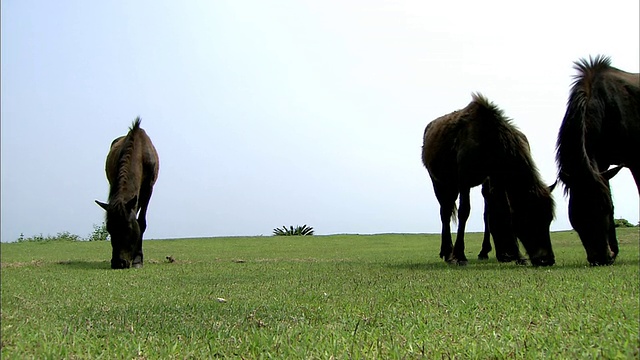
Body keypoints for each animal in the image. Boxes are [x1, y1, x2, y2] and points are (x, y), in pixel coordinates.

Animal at [95, 118, 159, 270]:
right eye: (109, 228)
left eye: (129, 228)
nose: (119, 263)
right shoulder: (114, 183)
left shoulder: (148, 189)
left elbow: (141, 222)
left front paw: (138, 259)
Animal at [420, 94, 556, 266]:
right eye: (529, 217)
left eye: (549, 219)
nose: (547, 259)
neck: (489, 141)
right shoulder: (464, 181)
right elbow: (464, 212)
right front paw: (460, 255)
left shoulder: (497, 180)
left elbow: (503, 212)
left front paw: (517, 256)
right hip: (441, 184)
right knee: (445, 213)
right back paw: (448, 252)